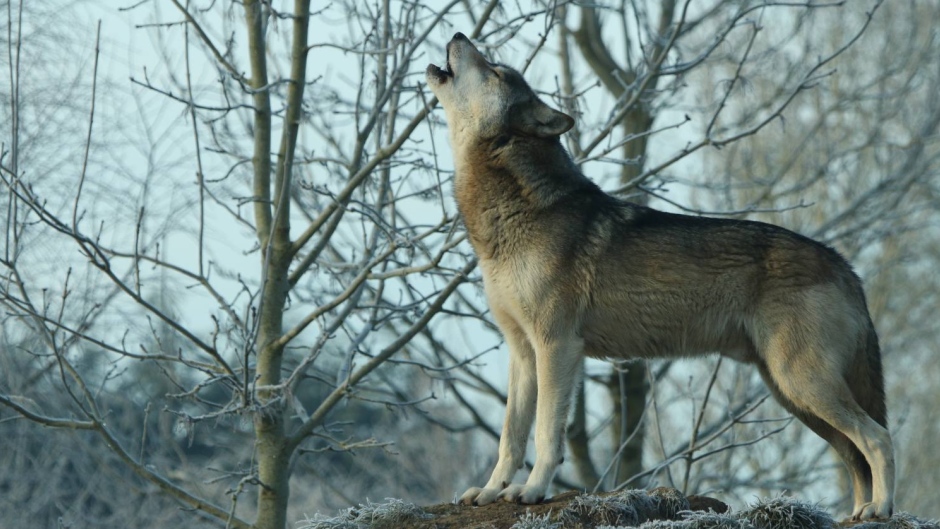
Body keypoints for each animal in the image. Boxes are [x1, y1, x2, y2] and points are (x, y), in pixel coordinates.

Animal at [426, 32, 895, 520]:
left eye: (497, 71)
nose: (458, 36)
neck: (515, 213)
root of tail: (846, 267)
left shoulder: (557, 347)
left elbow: (545, 434)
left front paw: (532, 491)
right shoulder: (522, 353)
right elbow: (510, 438)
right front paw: (490, 492)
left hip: (803, 384)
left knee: (878, 438)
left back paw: (879, 508)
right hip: (794, 395)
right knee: (855, 454)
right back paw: (860, 511)